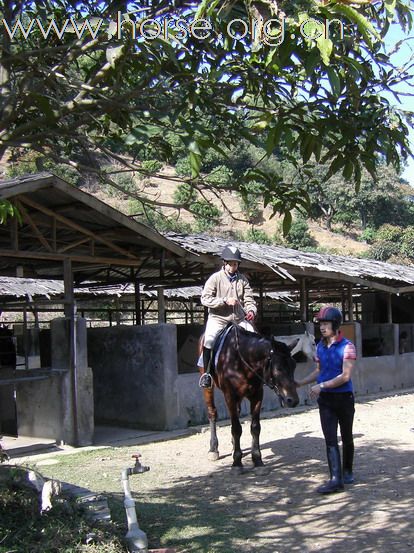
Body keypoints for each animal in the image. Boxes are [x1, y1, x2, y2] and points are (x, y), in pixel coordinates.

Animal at [200, 322, 300, 468]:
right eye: (278, 368)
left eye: (294, 366)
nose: (293, 400)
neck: (241, 360)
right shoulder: (230, 395)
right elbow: (236, 428)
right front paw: (237, 462)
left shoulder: (257, 395)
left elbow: (255, 427)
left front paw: (257, 459)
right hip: (209, 388)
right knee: (212, 413)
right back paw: (213, 449)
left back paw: (233, 447)